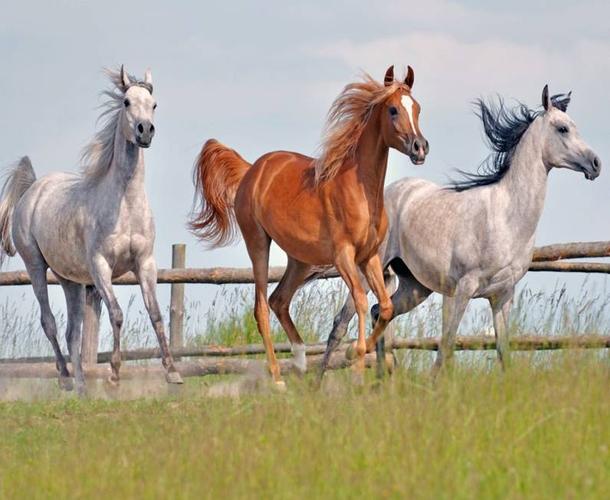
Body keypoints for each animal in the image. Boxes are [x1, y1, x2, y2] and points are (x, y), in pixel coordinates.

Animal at [0, 66, 182, 394]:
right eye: (125, 101)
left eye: (154, 104)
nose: (144, 131)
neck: (125, 204)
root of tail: (33, 190)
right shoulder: (100, 267)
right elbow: (117, 314)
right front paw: (114, 376)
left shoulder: (145, 263)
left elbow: (156, 314)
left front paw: (173, 373)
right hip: (35, 266)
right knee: (49, 322)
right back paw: (65, 378)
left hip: (69, 280)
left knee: (73, 331)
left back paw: (83, 388)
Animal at [190, 65, 428, 386]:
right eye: (392, 110)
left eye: (417, 108)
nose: (420, 148)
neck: (359, 189)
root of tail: (252, 170)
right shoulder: (344, 257)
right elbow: (361, 301)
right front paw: (355, 362)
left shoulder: (370, 257)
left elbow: (385, 307)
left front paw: (352, 353)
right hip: (258, 243)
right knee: (262, 308)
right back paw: (278, 379)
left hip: (300, 259)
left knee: (279, 300)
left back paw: (302, 364)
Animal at [318, 85, 600, 378]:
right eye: (562, 128)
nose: (596, 164)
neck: (506, 217)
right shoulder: (463, 289)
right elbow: (446, 347)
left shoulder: (502, 296)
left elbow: (503, 352)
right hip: (367, 271)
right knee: (341, 324)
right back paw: (320, 380)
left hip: (415, 287)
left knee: (379, 312)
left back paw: (383, 381)